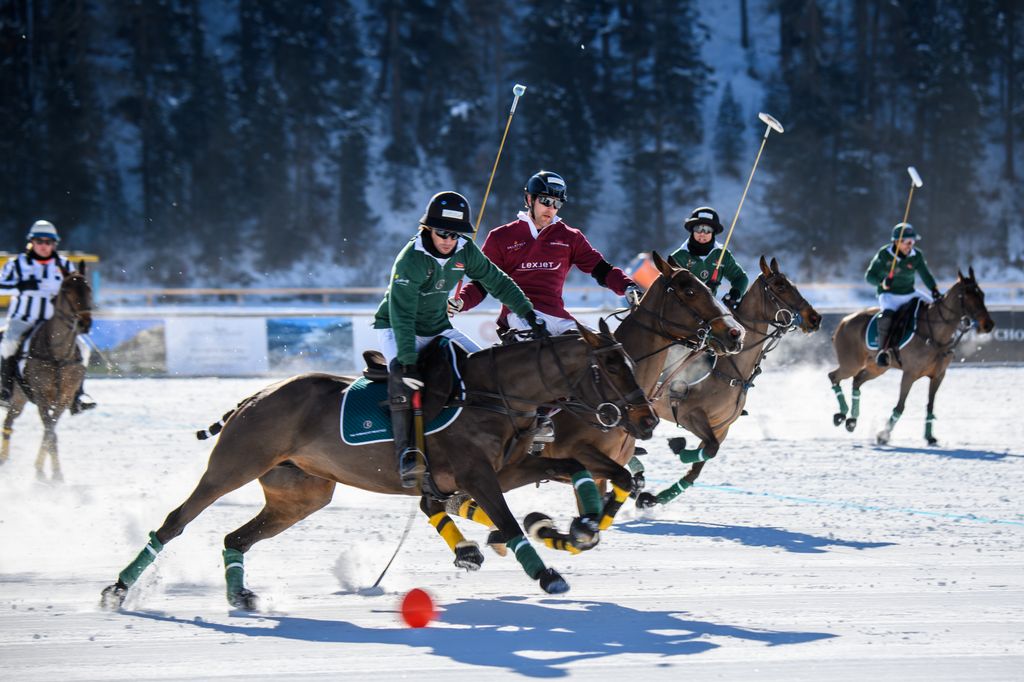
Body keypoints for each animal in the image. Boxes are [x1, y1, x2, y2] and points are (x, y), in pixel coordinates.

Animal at [0, 262, 92, 481]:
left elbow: (49, 431)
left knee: (9, 421)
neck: (57, 354)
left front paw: (45, 471)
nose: (85, 323)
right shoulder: (42, 397)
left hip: (19, 399)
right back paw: (3, 460)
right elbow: (50, 431)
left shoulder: (64, 399)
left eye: (89, 289)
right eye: (66, 289)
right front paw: (51, 474)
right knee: (8, 422)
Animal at [101, 321, 655, 606]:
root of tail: (254, 396)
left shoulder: (509, 468)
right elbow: (511, 523)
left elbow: (582, 470)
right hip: (233, 466)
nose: (646, 420)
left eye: (629, 361)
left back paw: (240, 596)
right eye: (609, 366)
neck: (489, 393)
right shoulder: (477, 474)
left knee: (235, 538)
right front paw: (548, 574)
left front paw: (580, 527)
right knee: (176, 521)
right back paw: (118, 589)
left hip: (299, 495)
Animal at [630, 254, 823, 503]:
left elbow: (700, 465)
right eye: (780, 286)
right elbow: (709, 449)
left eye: (793, 284)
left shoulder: (722, 427)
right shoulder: (690, 414)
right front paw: (678, 446)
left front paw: (654, 498)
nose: (815, 318)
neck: (731, 369)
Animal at [831, 266, 991, 446]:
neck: (936, 334)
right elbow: (900, 406)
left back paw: (851, 420)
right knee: (834, 376)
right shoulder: (910, 374)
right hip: (851, 364)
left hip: (876, 368)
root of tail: (844, 321)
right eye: (968, 296)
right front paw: (883, 435)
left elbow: (930, 406)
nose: (988, 325)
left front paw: (930, 437)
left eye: (982, 294)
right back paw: (841, 414)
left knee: (857, 381)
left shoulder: (938, 376)